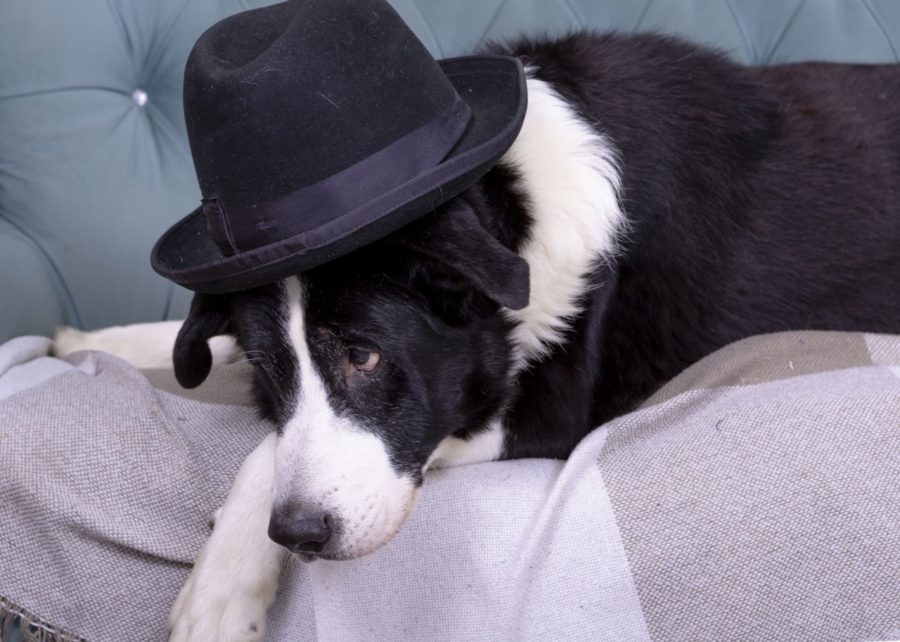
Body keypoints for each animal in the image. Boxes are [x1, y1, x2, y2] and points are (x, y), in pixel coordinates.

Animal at [55, 32, 900, 641]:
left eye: (363, 356)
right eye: (270, 370)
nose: (300, 535)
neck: (512, 205)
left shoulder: (549, 416)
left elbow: (269, 453)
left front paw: (222, 592)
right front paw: (101, 339)